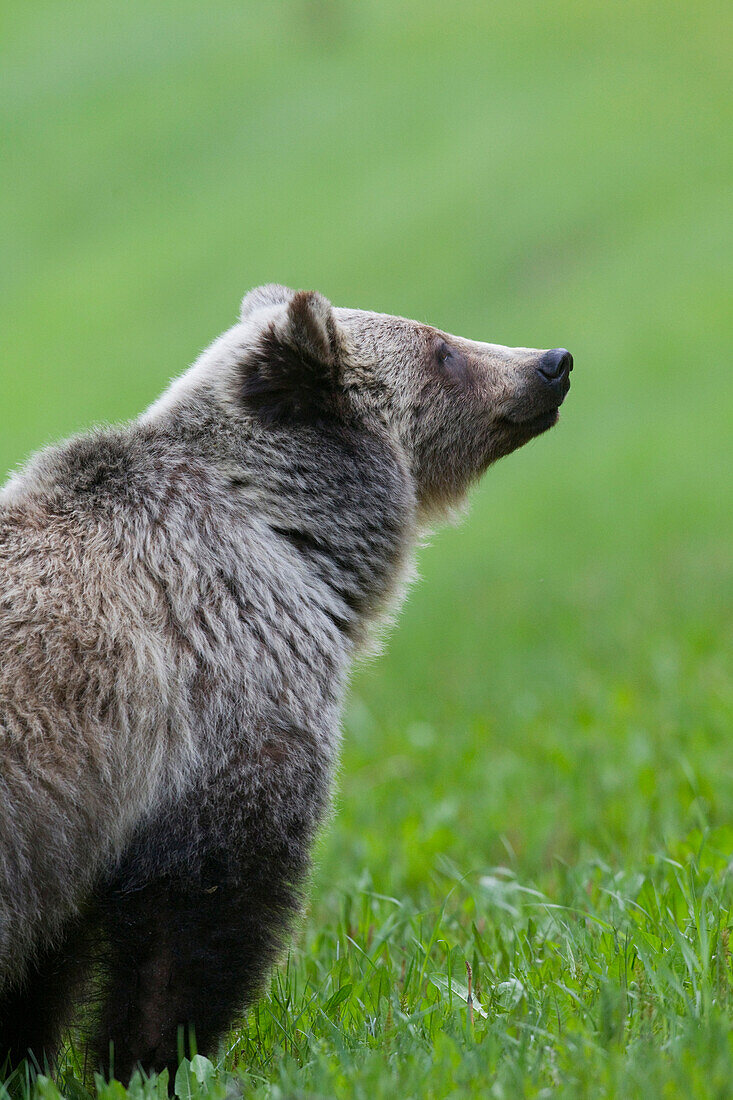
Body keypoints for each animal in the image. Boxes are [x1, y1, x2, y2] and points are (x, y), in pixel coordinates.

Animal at [0, 286, 567, 1082]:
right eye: (440, 349)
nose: (552, 362)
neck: (282, 538)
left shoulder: (75, 822)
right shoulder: (214, 712)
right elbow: (203, 908)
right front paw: (152, 1057)